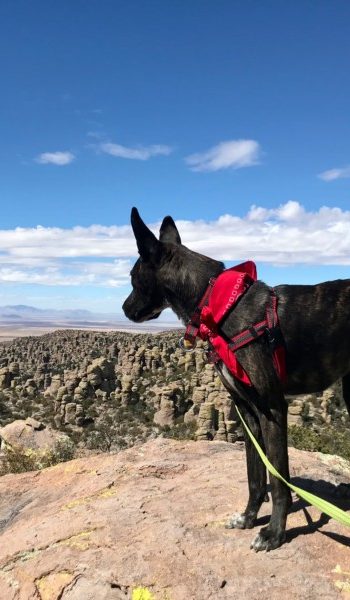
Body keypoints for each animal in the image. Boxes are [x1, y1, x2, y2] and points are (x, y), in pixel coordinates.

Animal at [122, 207, 350, 552]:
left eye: (133, 278)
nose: (124, 309)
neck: (216, 303)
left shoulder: (272, 408)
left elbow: (278, 479)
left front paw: (274, 533)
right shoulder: (246, 410)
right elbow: (255, 475)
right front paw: (248, 517)